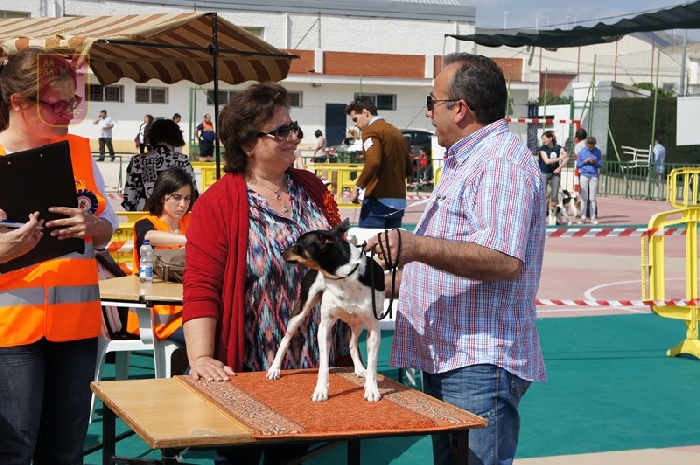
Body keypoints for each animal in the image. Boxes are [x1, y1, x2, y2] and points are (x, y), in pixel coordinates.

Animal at [266, 219, 385, 402]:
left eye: (298, 246)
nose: (281, 251)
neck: (344, 278)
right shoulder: (325, 327)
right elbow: (323, 366)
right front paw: (321, 391)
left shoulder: (373, 329)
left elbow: (372, 366)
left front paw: (371, 390)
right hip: (300, 311)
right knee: (285, 340)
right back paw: (275, 369)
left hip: (358, 324)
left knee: (352, 345)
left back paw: (359, 369)